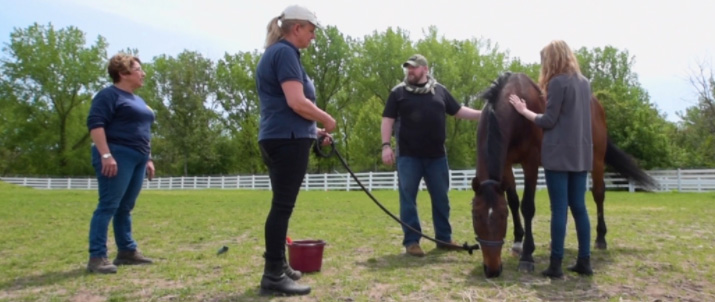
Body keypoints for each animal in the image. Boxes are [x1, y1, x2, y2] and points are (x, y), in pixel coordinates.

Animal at [472, 72, 656, 278]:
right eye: (476, 216)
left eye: (503, 217)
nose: (492, 269)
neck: (515, 111)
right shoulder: (506, 163)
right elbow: (513, 201)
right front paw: (518, 242)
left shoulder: (531, 163)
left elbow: (527, 206)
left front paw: (527, 255)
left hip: (596, 160)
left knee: (598, 194)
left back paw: (600, 238)